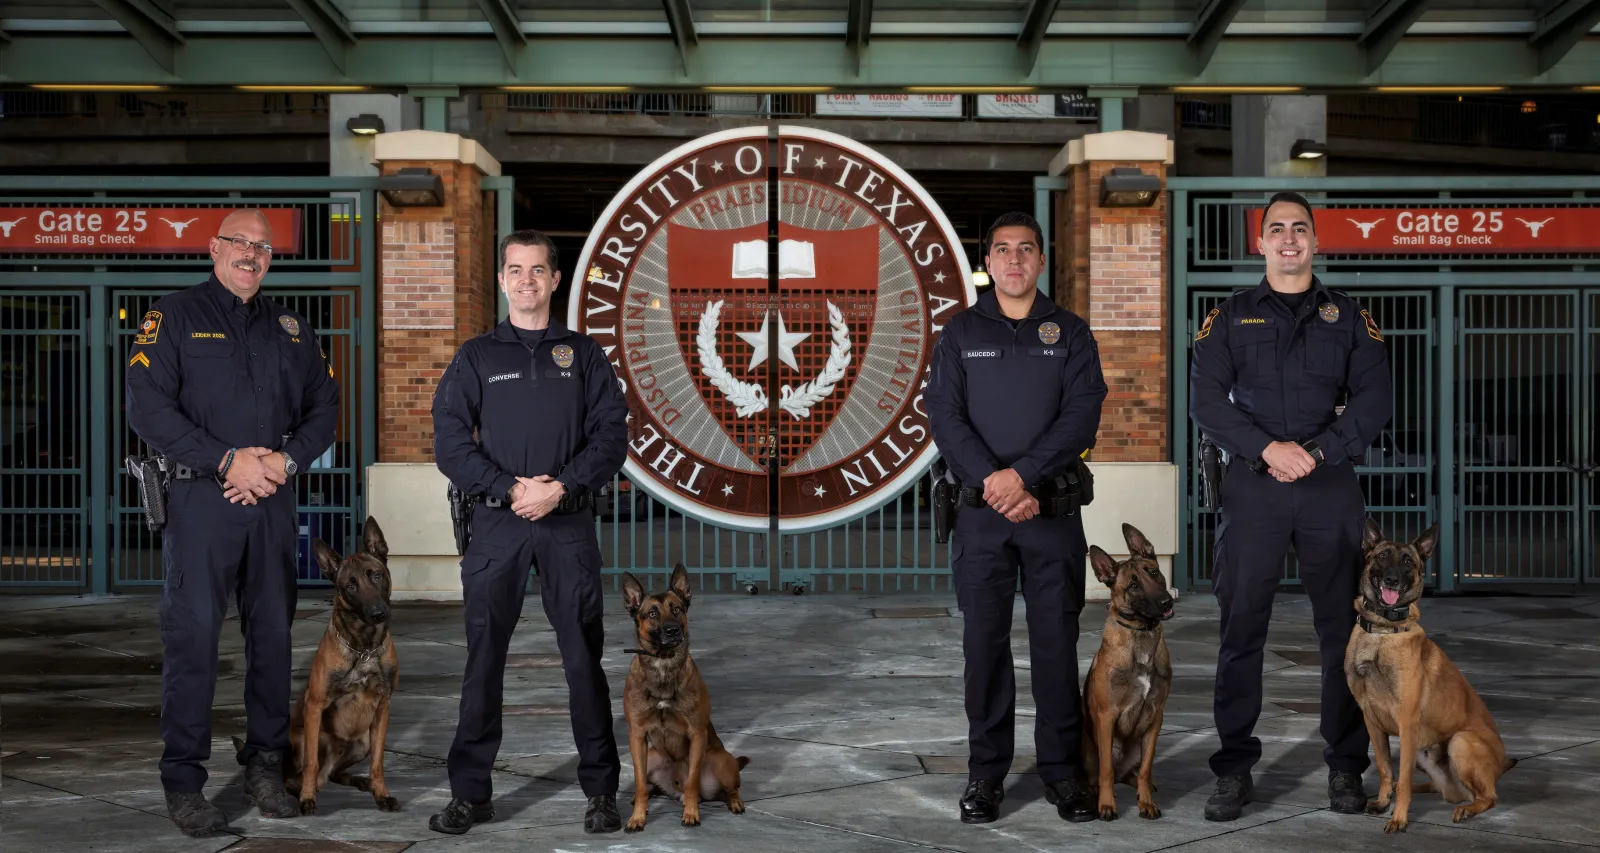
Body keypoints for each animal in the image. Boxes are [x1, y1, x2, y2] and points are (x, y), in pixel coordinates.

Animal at [281, 515, 396, 816]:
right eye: (350, 586)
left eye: (375, 575)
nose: (379, 613)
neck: (364, 646)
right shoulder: (315, 706)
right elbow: (310, 763)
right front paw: (307, 798)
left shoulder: (382, 708)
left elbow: (378, 762)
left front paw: (381, 793)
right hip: (304, 738)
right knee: (302, 774)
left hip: (363, 742)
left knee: (334, 773)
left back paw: (362, 782)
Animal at [620, 566, 752, 832]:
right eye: (652, 613)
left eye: (677, 609)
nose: (673, 630)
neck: (663, 664)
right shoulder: (637, 735)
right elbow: (639, 784)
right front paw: (637, 818)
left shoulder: (697, 734)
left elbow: (692, 781)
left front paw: (691, 814)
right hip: (652, 756)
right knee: (649, 785)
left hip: (720, 759)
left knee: (729, 789)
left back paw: (734, 802)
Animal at [1075, 521, 1177, 819]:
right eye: (1133, 585)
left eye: (1154, 572)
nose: (1167, 602)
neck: (1140, 635)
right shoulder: (1106, 717)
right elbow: (1106, 771)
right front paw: (1107, 805)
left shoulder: (1155, 717)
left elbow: (1146, 768)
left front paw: (1146, 803)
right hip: (1088, 747)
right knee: (1101, 774)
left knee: (1133, 773)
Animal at [1344, 518, 1516, 832]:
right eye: (1382, 556)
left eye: (1408, 562)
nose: (1392, 580)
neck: (1383, 631)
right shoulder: (1372, 721)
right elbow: (1386, 768)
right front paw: (1383, 801)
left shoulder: (1406, 722)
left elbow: (1402, 780)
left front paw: (1398, 818)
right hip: (1425, 755)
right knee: (1436, 787)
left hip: (1460, 742)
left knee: (1488, 797)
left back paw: (1467, 810)